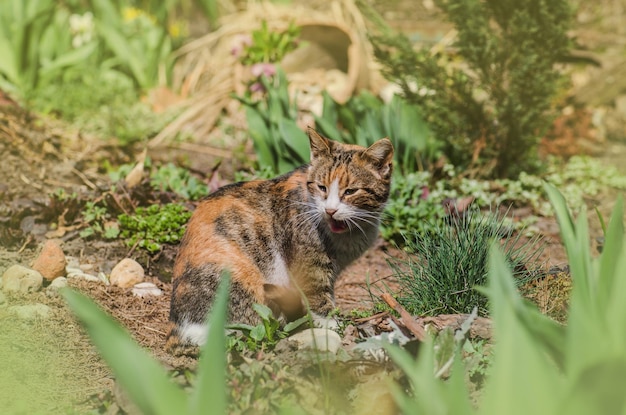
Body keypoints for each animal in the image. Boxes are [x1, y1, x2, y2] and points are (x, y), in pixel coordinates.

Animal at [166, 128, 390, 350]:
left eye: (351, 191)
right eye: (322, 187)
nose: (330, 210)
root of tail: (180, 331)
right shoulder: (310, 266)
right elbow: (318, 297)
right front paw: (332, 326)